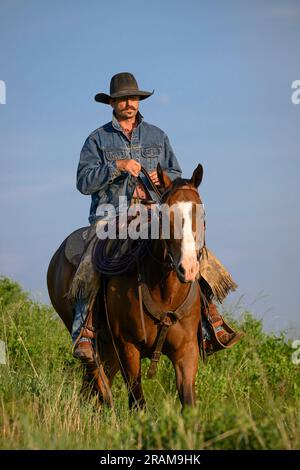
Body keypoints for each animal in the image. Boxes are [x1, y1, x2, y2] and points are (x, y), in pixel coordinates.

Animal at [47, 164, 205, 408]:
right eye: (165, 214)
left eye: (201, 213)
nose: (187, 268)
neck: (165, 292)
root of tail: (57, 256)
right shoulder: (128, 347)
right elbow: (138, 402)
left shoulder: (186, 352)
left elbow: (188, 403)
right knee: (94, 373)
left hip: (109, 347)